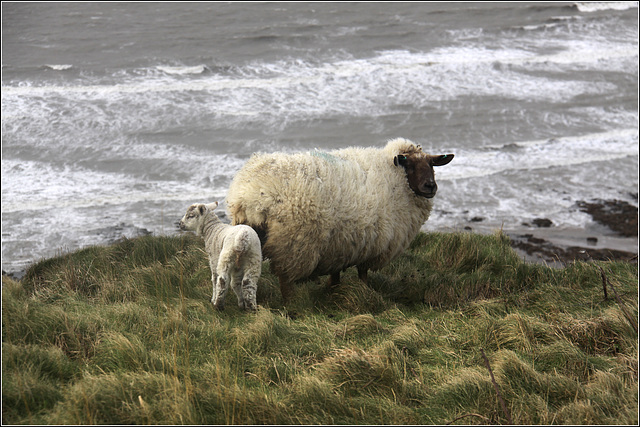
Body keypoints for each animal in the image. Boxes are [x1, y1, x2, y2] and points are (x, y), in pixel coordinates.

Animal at [228, 139, 452, 302]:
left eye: (431, 164)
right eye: (409, 165)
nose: (430, 186)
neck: (395, 177)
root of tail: (250, 194)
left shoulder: (339, 245)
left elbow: (336, 274)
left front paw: (334, 291)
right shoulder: (370, 242)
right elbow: (362, 272)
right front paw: (364, 290)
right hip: (292, 243)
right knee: (285, 278)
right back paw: (290, 305)